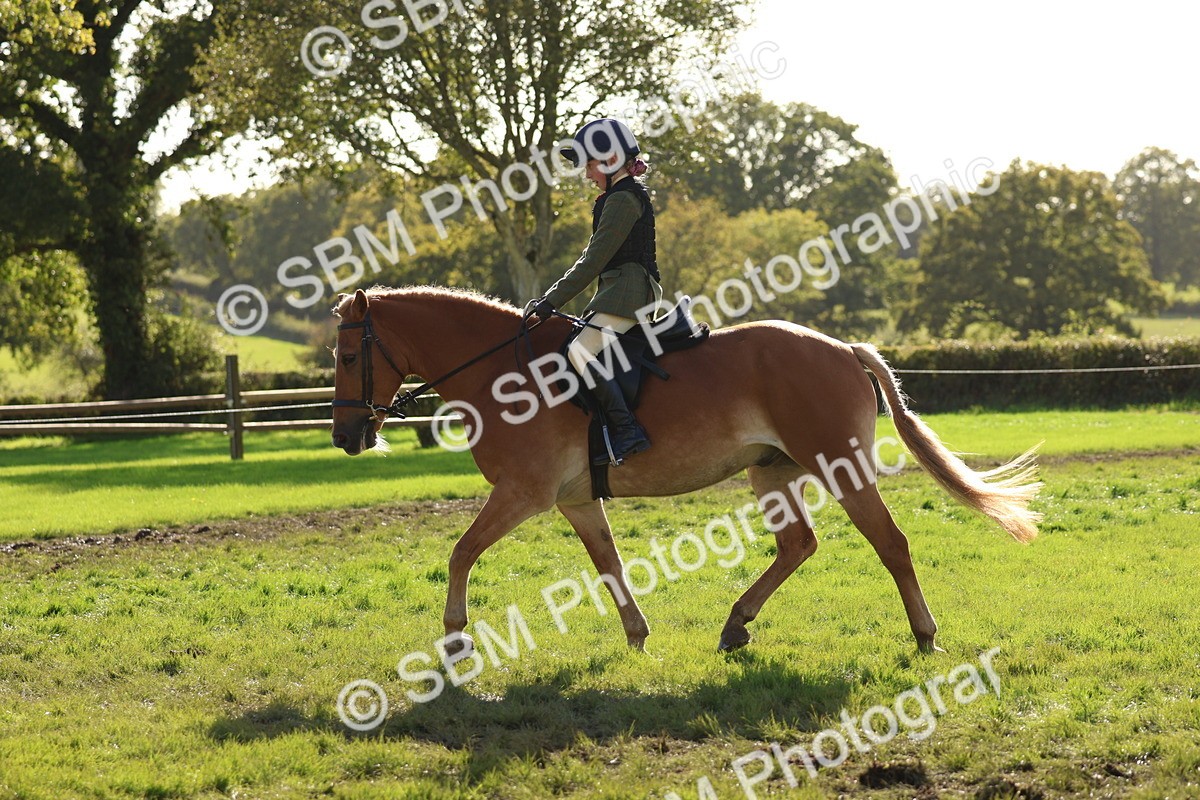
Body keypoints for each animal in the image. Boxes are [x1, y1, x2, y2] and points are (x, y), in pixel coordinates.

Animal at [330, 286, 1041, 655]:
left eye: (346, 355)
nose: (345, 437)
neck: (501, 372)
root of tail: (841, 347)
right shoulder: (574, 499)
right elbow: (609, 563)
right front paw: (637, 636)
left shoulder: (524, 493)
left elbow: (460, 551)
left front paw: (455, 639)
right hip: (772, 472)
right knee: (797, 544)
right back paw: (735, 624)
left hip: (837, 466)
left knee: (889, 543)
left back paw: (924, 635)